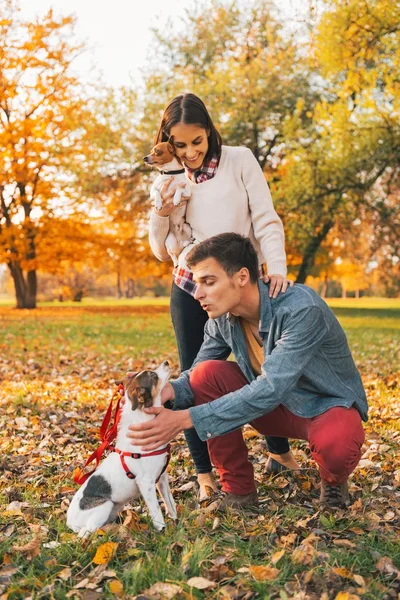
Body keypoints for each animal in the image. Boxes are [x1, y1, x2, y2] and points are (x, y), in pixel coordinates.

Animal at [67, 360, 177, 540]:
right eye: (152, 374)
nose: (167, 362)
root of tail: (69, 522)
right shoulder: (146, 483)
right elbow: (156, 512)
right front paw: (162, 531)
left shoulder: (162, 477)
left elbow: (170, 501)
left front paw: (175, 520)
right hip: (104, 506)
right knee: (85, 532)